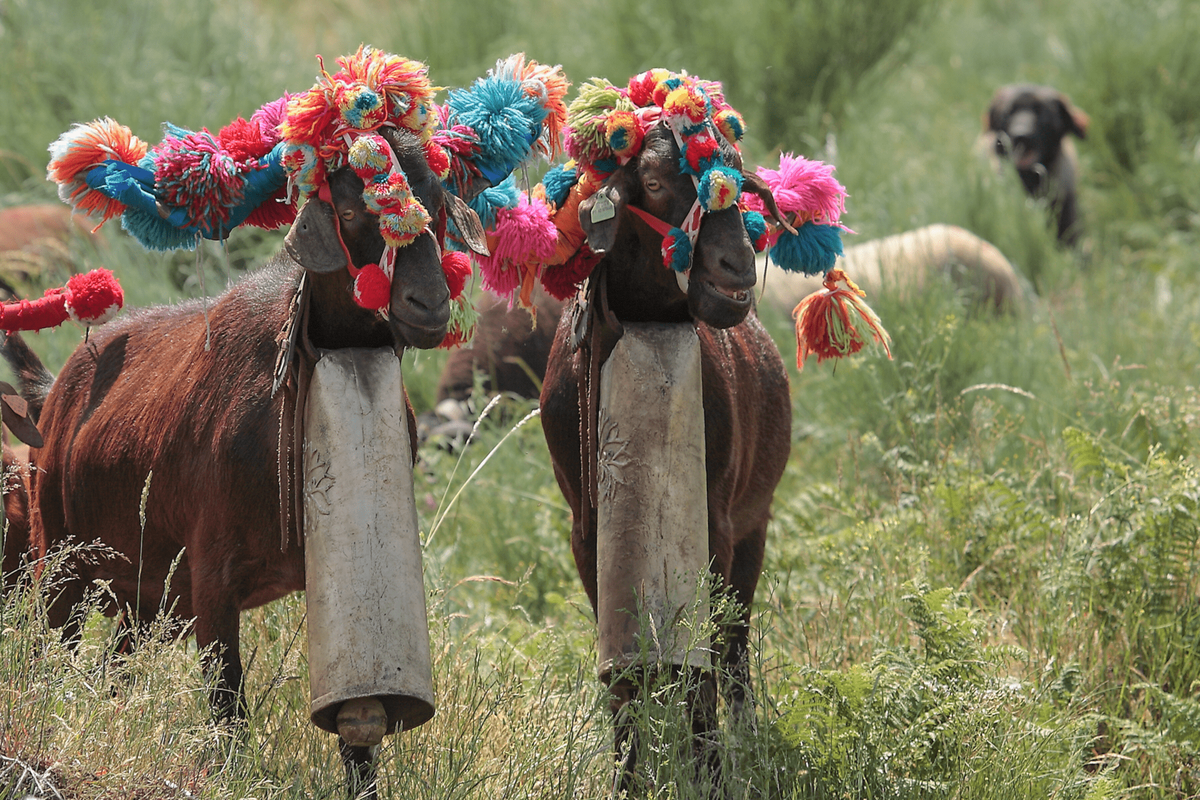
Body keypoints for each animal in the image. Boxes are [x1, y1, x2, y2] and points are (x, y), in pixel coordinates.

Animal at [4, 47, 566, 796]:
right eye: (353, 206)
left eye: (443, 204)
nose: (427, 304)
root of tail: (55, 391)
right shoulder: (212, 573)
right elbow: (227, 705)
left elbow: (360, 724)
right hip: (60, 555)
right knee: (53, 653)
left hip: (142, 592)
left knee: (111, 667)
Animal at [542, 122, 787, 791]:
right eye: (650, 183)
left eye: (738, 172)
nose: (736, 266)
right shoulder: (586, 529)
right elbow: (623, 674)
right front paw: (628, 775)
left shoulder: (716, 522)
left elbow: (702, 665)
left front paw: (710, 775)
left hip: (754, 527)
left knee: (732, 647)